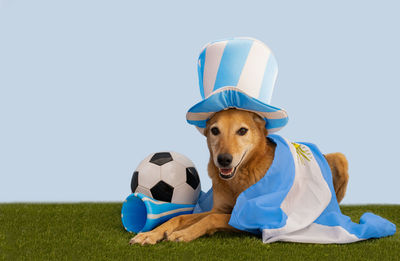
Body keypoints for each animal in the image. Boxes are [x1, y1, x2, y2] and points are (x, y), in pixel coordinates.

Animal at [130, 107, 348, 244]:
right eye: (215, 130)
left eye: (242, 130)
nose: (224, 160)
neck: (238, 180)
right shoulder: (219, 208)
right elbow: (181, 216)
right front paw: (151, 234)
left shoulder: (253, 219)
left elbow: (211, 220)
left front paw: (183, 233)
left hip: (340, 158)